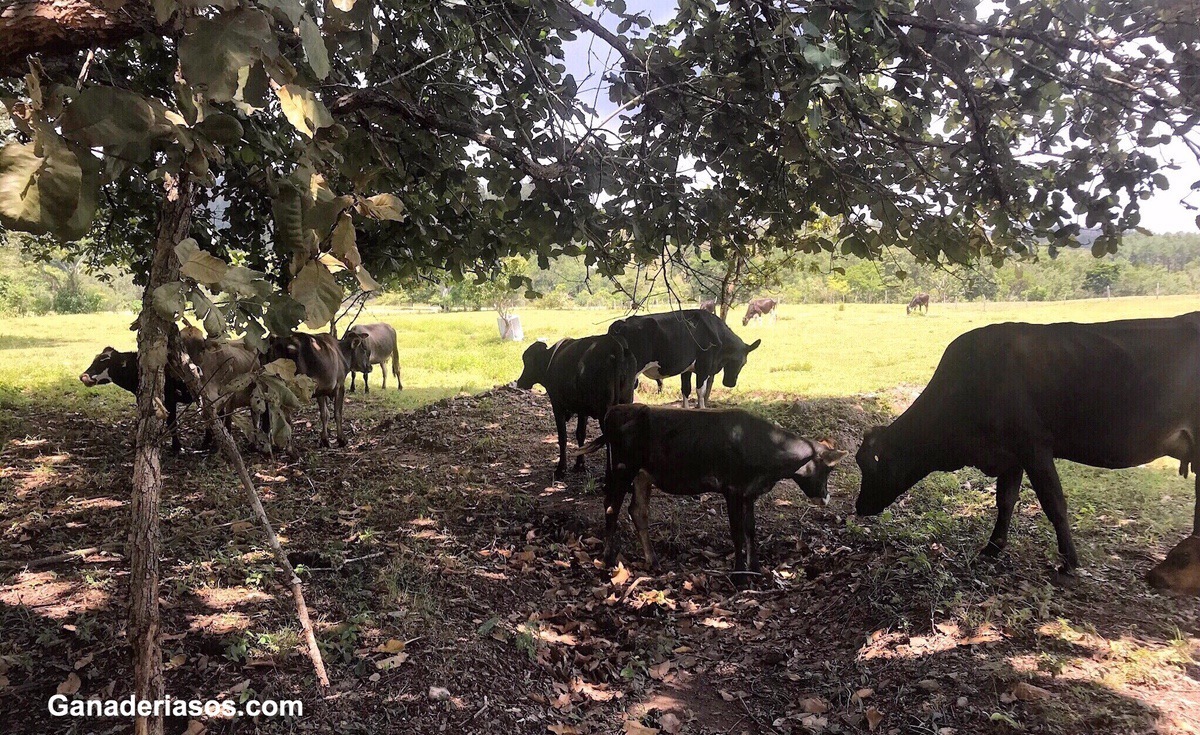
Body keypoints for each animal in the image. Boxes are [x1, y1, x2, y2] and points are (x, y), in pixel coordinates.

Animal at [518, 336, 643, 480]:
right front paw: (580, 464)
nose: (520, 381)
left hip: (604, 412)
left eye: (527, 361)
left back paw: (608, 476)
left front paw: (561, 469)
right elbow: (580, 434)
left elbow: (563, 437)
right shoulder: (582, 410)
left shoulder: (557, 406)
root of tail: (614, 344)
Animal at [578, 401, 844, 586]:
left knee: (637, 511)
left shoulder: (749, 493)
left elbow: (750, 529)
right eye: (827, 469)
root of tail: (616, 409)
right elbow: (737, 533)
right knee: (611, 506)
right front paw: (740, 576)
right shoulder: (732, 489)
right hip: (622, 468)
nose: (826, 497)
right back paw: (607, 558)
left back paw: (653, 561)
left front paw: (755, 569)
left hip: (643, 474)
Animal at [609, 306, 758, 408]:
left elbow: (686, 389)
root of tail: (619, 324)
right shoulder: (704, 366)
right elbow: (700, 391)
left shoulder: (686, 369)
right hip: (632, 372)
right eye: (742, 362)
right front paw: (702, 408)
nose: (730, 383)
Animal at [854, 312, 1200, 583]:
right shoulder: (1010, 456)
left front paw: (1069, 562)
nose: (859, 507)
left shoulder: (1034, 447)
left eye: (872, 465)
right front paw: (992, 547)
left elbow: (1054, 504)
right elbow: (1005, 502)